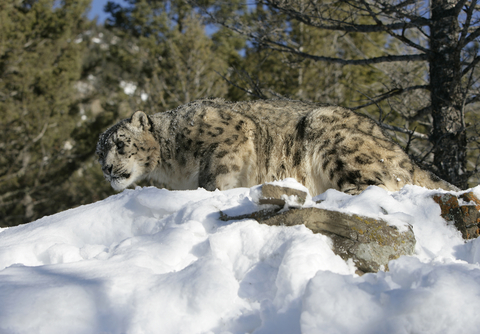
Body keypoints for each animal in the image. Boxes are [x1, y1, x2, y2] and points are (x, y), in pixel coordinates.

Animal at [94, 98, 458, 196]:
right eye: (99, 155)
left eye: (121, 145)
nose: (108, 169)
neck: (175, 168)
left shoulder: (227, 136)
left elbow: (216, 175)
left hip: (332, 138)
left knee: (377, 186)